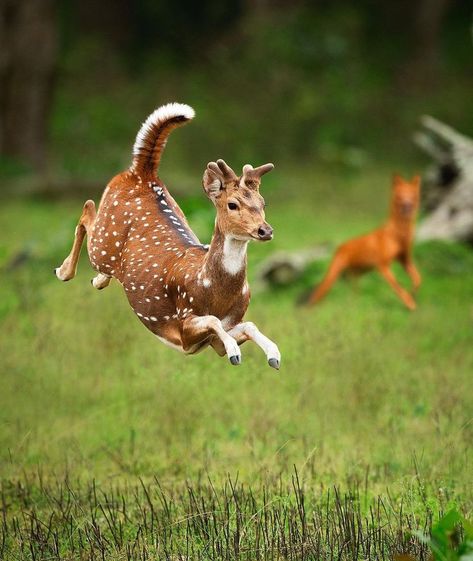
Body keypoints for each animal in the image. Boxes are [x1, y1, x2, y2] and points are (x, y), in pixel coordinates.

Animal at [54, 102, 280, 368]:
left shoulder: (215, 341)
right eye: (232, 204)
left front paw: (274, 355)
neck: (209, 285)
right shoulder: (183, 323)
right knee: (87, 210)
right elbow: (213, 321)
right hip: (103, 242)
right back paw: (63, 271)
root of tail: (142, 171)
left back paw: (98, 280)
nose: (265, 230)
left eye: (263, 203)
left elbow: (249, 325)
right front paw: (237, 352)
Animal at [306, 173, 420, 308]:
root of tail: (340, 247)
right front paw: (410, 303)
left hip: (357, 274)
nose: (407, 204)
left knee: (352, 292)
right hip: (334, 276)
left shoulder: (405, 259)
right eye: (400, 195)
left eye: (412, 194)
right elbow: (398, 287)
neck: (398, 236)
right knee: (316, 296)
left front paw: (413, 294)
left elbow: (418, 280)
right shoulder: (383, 266)